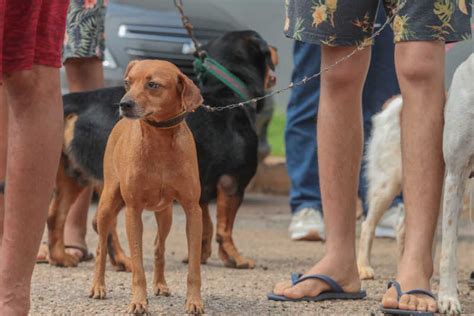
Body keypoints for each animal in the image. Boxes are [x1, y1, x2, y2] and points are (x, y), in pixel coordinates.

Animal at [46, 30, 276, 270]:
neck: (229, 94)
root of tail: (80, 100)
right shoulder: (234, 183)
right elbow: (225, 228)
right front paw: (235, 258)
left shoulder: (197, 188)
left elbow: (206, 225)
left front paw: (200, 256)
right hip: (116, 183)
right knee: (99, 221)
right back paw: (123, 260)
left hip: (73, 175)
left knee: (55, 216)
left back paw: (61, 257)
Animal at [90, 59, 205, 314]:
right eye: (127, 82)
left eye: (153, 85)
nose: (124, 104)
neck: (159, 139)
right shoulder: (133, 211)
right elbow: (138, 266)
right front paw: (139, 301)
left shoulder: (193, 210)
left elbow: (193, 267)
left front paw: (194, 301)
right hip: (107, 204)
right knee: (101, 247)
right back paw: (98, 286)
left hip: (166, 214)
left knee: (158, 247)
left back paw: (160, 283)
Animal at [358, 53, 472, 314]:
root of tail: (395, 101)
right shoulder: (456, 173)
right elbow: (449, 251)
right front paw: (448, 299)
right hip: (388, 183)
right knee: (368, 224)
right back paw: (364, 267)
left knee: (403, 228)